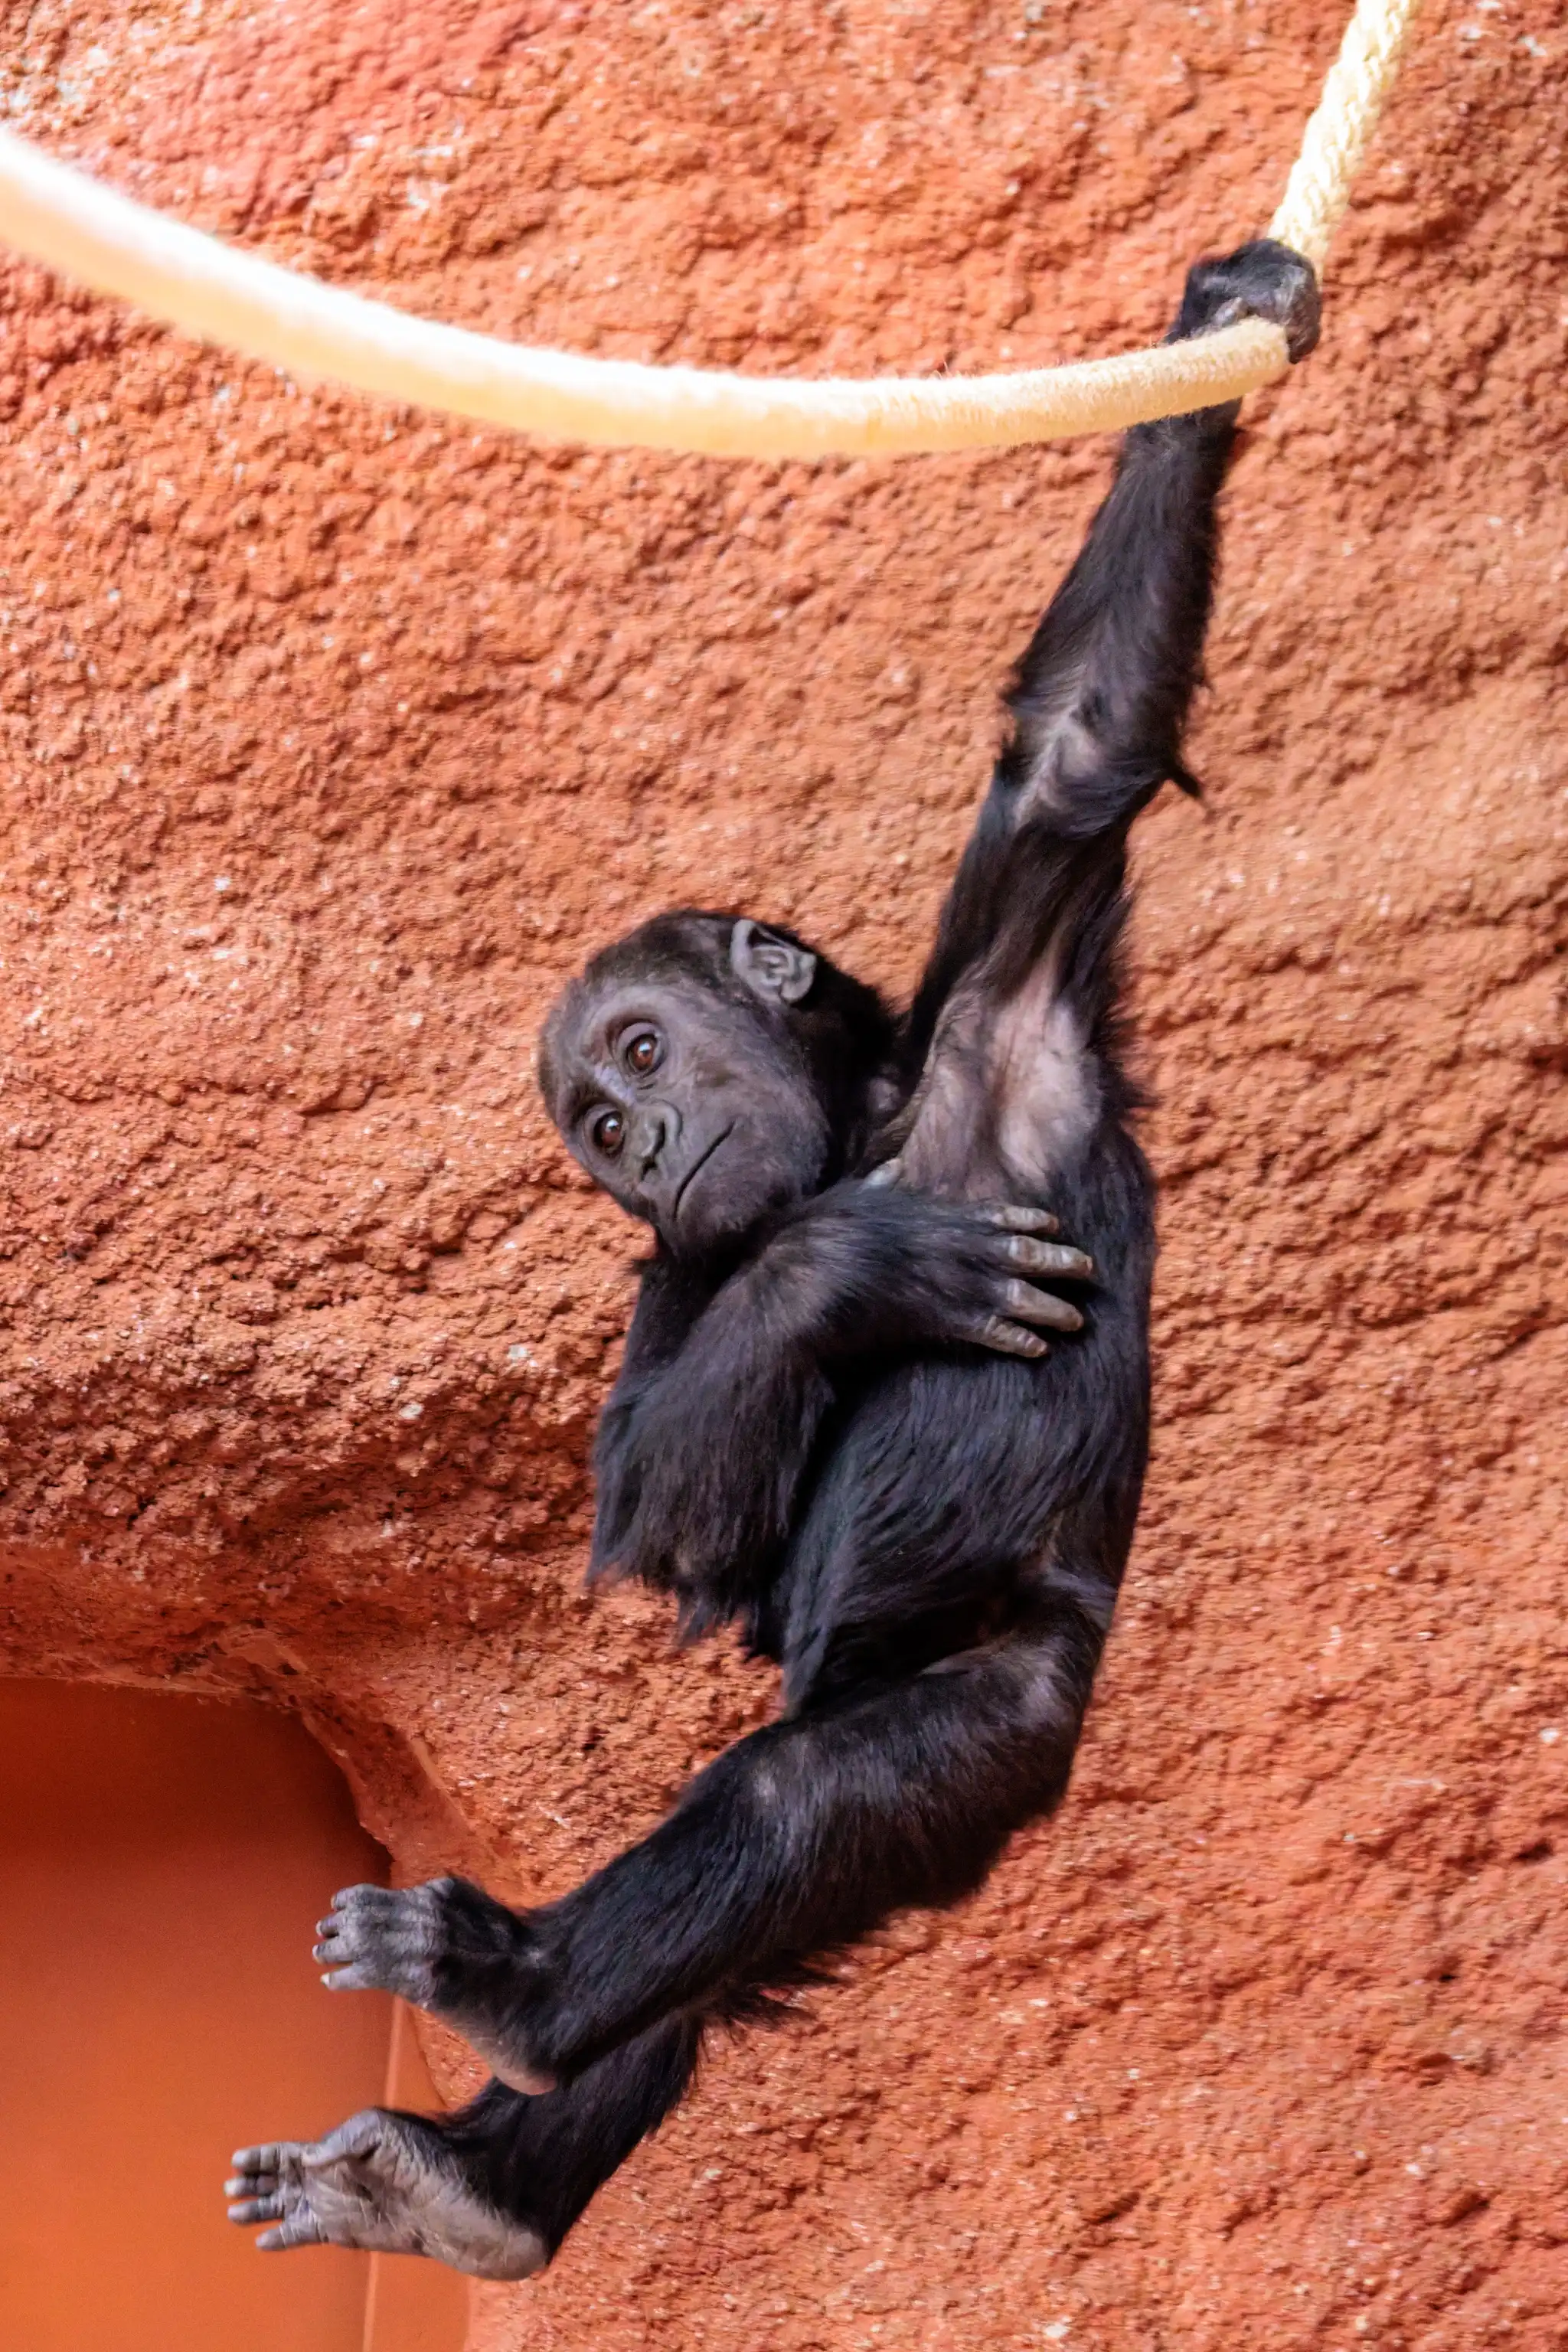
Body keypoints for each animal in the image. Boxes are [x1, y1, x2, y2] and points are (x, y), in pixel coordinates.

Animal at [227, 241, 1320, 2279]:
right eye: (591, 1120)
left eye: (644, 1052)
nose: (641, 1144)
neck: (857, 1119)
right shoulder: (678, 1273)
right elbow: (662, 1500)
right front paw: (846, 1269)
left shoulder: (1014, 980)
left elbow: (1072, 756)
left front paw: (1226, 318)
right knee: (703, 1951)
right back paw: (473, 2165)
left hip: (1001, 1711)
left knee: (803, 1804)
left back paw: (509, 1998)